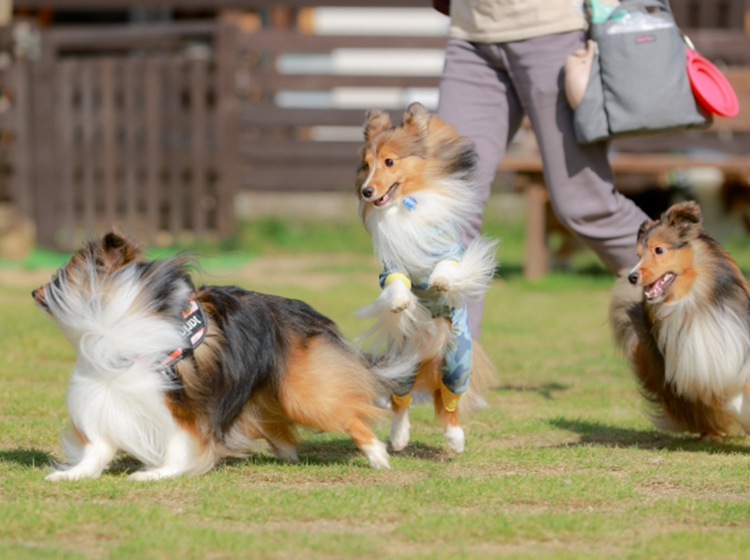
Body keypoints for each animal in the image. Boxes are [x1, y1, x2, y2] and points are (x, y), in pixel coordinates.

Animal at [33, 232, 406, 482]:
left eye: (59, 279)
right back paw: (287, 452)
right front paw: (73, 473)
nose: (34, 291)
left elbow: (178, 444)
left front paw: (156, 473)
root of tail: (306, 311)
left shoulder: (181, 401)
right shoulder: (110, 390)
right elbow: (98, 443)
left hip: (302, 394)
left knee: (350, 414)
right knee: (279, 425)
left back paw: (378, 456)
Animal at [354, 103, 496, 456]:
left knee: (448, 403)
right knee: (401, 401)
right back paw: (399, 437)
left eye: (389, 162)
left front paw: (440, 283)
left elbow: (446, 267)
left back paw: (455, 439)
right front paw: (401, 302)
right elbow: (396, 283)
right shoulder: (391, 266)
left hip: (458, 365)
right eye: (366, 165)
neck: (407, 206)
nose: (366, 191)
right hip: (403, 362)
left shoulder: (451, 250)